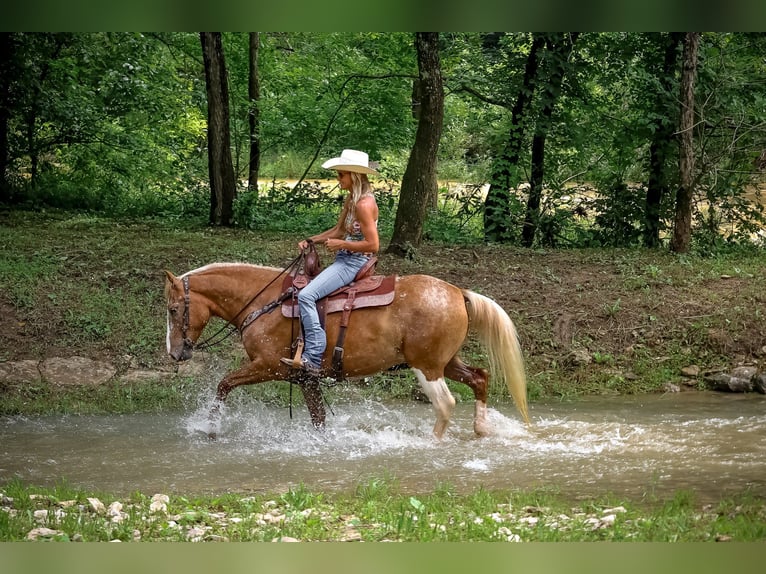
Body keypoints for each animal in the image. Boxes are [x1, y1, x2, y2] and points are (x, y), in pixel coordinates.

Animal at [164, 262, 529, 438]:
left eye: (172, 309)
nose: (175, 354)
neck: (264, 302)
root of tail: (457, 292)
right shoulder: (305, 378)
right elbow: (318, 419)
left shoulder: (269, 366)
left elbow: (224, 384)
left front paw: (211, 427)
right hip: (446, 361)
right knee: (480, 378)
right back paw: (481, 429)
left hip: (426, 366)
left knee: (446, 403)